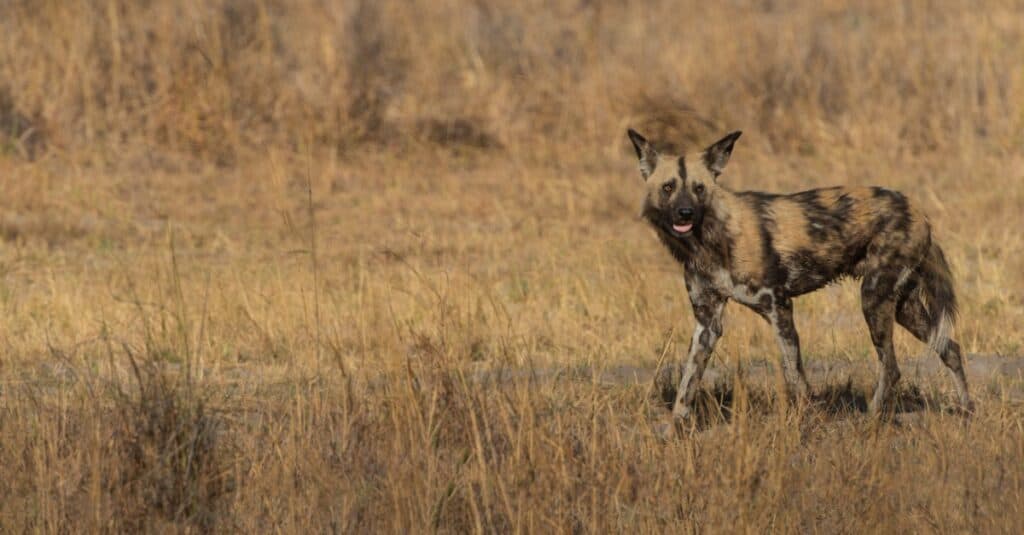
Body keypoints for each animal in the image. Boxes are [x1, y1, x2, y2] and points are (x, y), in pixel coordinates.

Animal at [626, 128, 970, 416]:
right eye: (668, 188)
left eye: (698, 189)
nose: (685, 213)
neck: (710, 239)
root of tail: (918, 210)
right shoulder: (707, 324)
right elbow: (687, 386)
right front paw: (674, 432)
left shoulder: (779, 308)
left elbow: (796, 376)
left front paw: (807, 421)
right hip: (902, 308)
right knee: (950, 348)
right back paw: (968, 410)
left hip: (873, 299)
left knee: (892, 367)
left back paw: (871, 419)